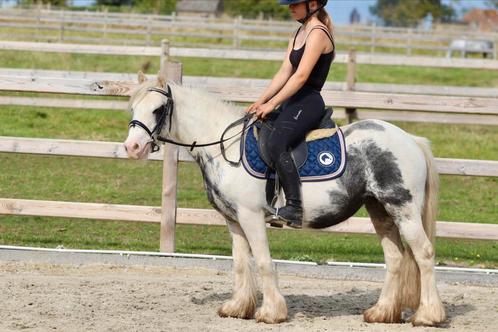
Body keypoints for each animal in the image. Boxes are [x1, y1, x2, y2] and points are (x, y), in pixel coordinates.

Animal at [122, 74, 446, 326]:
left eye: (158, 109)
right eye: (134, 107)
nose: (132, 147)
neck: (224, 147)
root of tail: (410, 139)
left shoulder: (251, 216)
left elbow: (264, 262)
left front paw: (271, 312)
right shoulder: (233, 220)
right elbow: (241, 263)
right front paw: (237, 308)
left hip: (403, 209)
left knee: (424, 254)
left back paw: (427, 316)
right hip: (379, 209)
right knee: (395, 258)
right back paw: (381, 313)